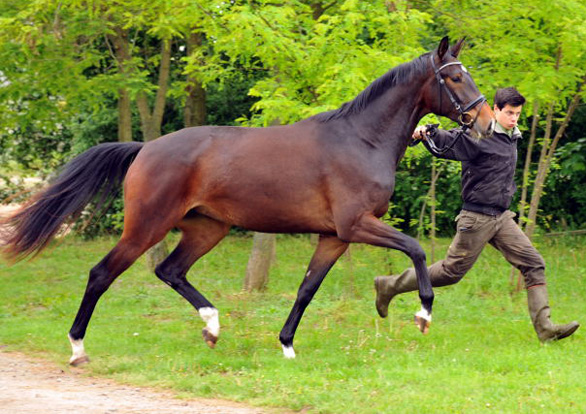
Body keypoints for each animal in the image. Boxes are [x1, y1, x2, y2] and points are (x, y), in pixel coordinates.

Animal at [0, 38, 492, 362]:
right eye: (453, 77)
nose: (486, 121)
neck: (360, 139)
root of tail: (145, 148)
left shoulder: (334, 236)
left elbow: (307, 288)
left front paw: (287, 345)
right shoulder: (356, 225)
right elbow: (415, 248)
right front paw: (424, 313)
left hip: (207, 228)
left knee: (170, 270)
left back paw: (212, 326)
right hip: (147, 226)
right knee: (102, 273)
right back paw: (78, 347)